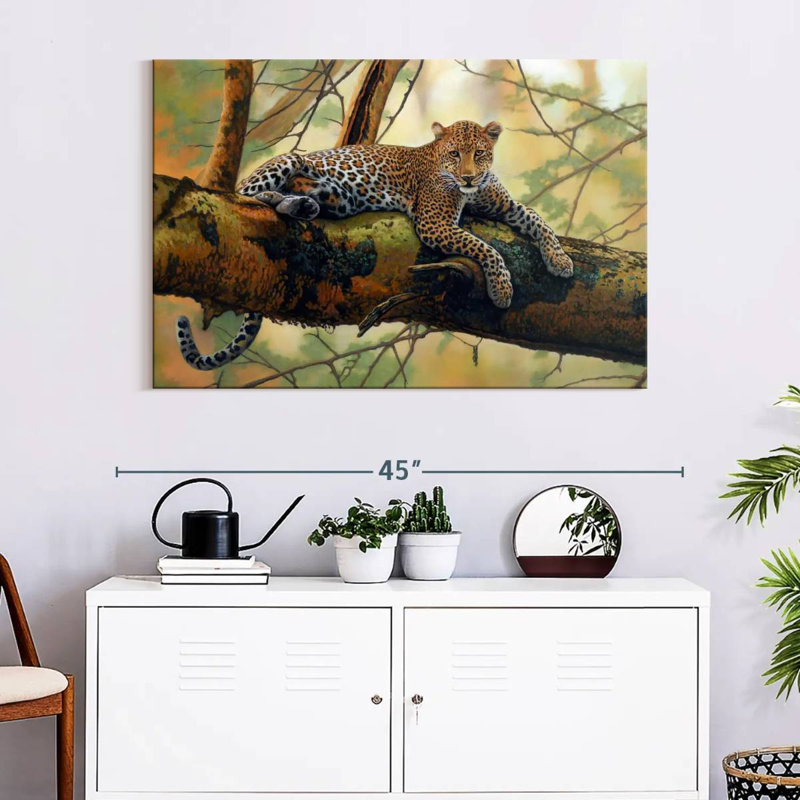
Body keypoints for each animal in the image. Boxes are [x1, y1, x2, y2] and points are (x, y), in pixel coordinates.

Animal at [176, 119, 574, 370]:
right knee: (247, 197)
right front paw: (502, 288)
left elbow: (536, 218)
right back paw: (290, 202)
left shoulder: (502, 206)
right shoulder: (435, 224)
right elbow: (485, 247)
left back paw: (303, 204)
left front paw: (560, 261)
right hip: (288, 160)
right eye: (453, 154)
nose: (468, 177)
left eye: (478, 153)